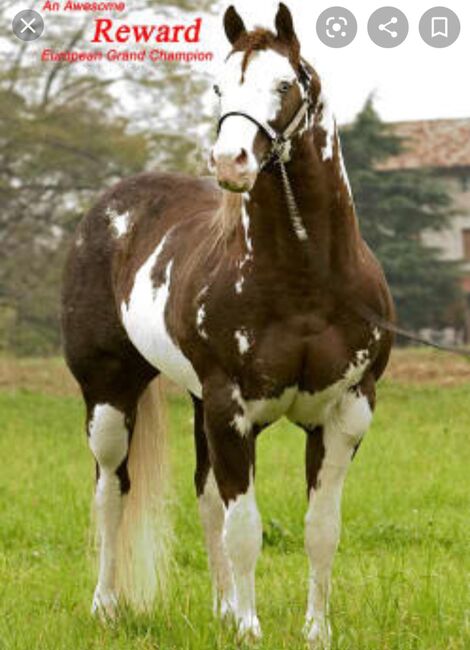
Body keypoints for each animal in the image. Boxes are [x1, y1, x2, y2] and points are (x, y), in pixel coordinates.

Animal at [60, 2, 394, 644]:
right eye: (220, 86)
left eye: (286, 84)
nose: (230, 163)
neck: (303, 282)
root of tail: (108, 209)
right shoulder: (231, 409)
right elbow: (246, 530)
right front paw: (249, 630)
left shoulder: (346, 412)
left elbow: (321, 530)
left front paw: (314, 632)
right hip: (109, 395)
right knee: (110, 491)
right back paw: (106, 607)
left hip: (196, 404)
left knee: (206, 495)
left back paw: (219, 607)